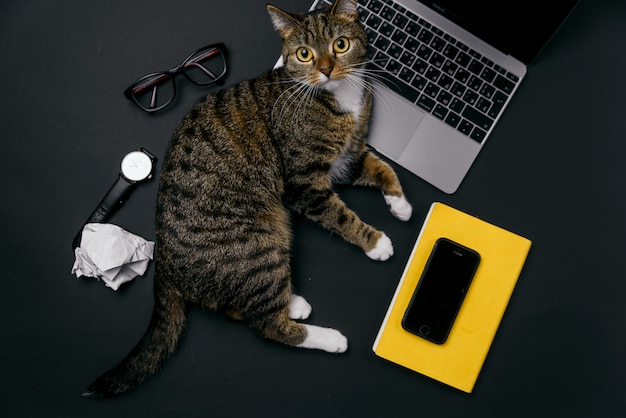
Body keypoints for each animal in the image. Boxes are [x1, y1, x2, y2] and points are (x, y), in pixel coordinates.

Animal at [81, 0, 410, 398]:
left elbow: (383, 168)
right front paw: (376, 242)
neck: (340, 96)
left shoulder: (348, 159)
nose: (326, 69)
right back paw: (327, 336)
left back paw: (293, 302)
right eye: (304, 54)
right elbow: (340, 215)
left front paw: (401, 204)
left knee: (235, 308)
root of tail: (166, 264)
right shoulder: (304, 181)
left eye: (341, 45)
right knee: (267, 325)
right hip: (258, 246)